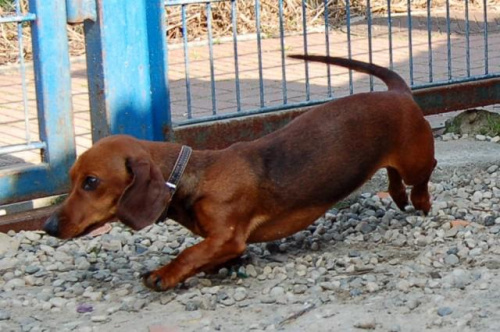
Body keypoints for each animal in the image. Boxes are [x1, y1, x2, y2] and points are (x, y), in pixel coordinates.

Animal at [45, 55, 436, 292]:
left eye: (91, 182)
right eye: (71, 179)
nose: (47, 226)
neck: (190, 176)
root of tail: (398, 93)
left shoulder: (227, 236)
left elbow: (190, 253)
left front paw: (164, 273)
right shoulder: (219, 241)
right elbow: (202, 255)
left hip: (415, 160)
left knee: (423, 175)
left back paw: (419, 200)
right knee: (393, 177)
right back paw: (398, 196)